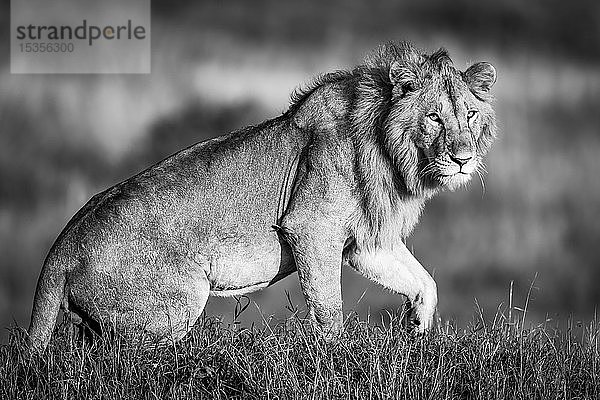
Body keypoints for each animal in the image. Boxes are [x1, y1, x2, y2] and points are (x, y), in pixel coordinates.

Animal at [25, 42, 496, 352]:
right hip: (178, 301)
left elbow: (424, 281)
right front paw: (336, 358)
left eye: (471, 115)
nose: (463, 159)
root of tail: (62, 246)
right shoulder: (310, 228)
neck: (392, 156)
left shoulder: (364, 243)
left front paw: (418, 327)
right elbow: (328, 307)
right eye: (434, 117)